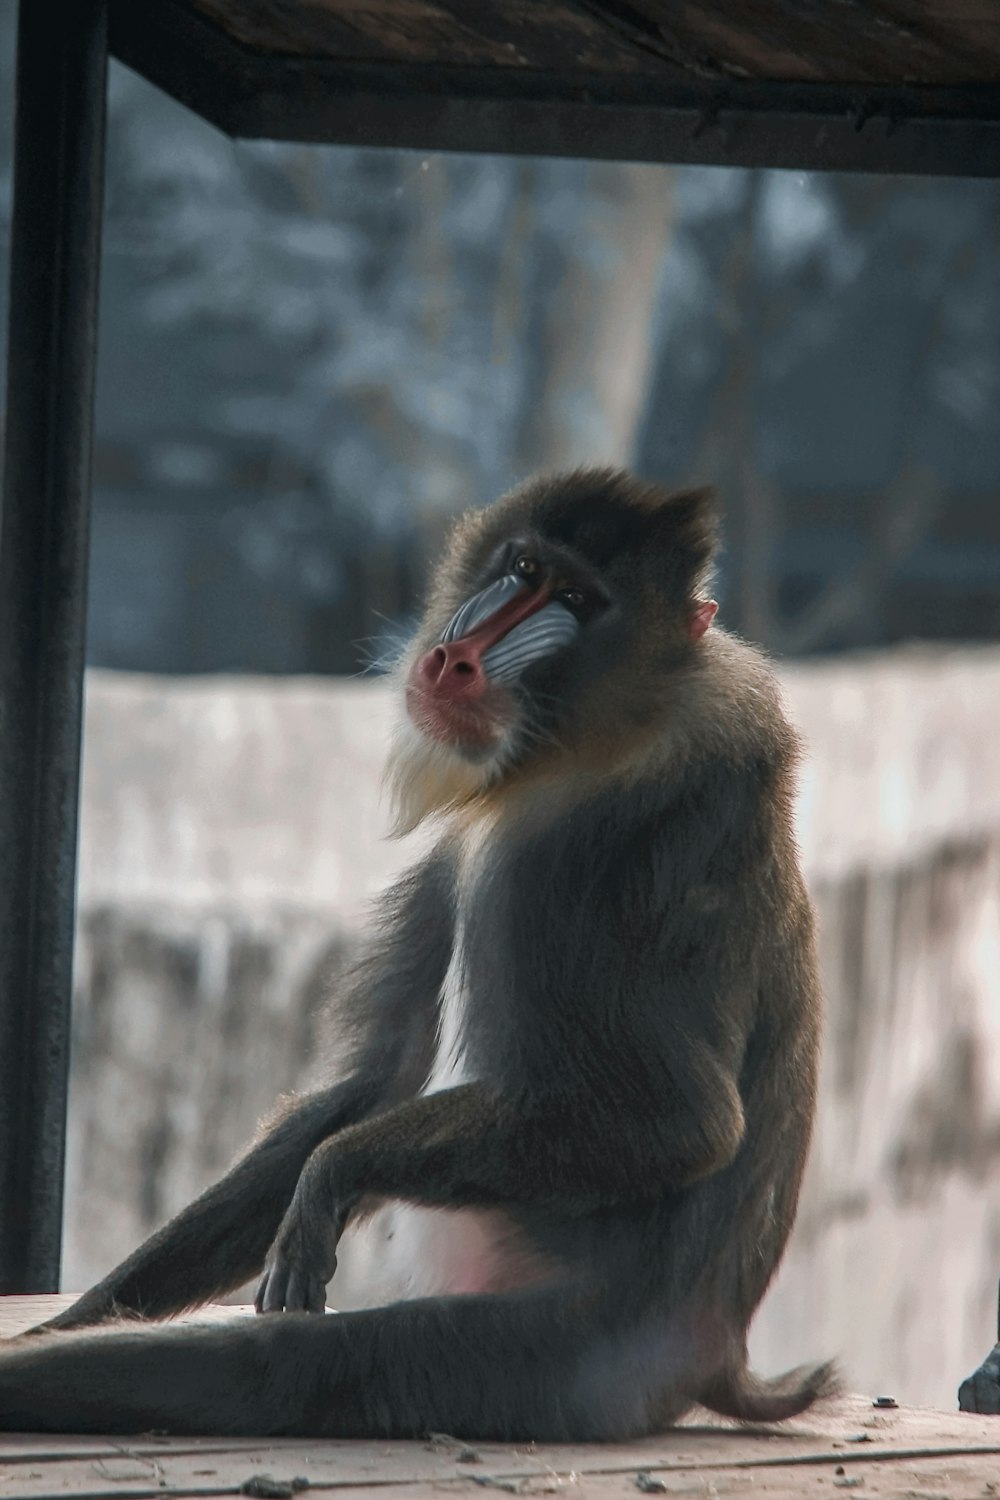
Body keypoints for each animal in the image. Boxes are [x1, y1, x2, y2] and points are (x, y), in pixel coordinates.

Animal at [0, 468, 833, 1440]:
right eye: (525, 569)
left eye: (579, 603)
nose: (457, 658)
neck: (607, 723)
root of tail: (709, 1354)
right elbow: (380, 1076)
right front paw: (80, 1309)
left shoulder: (596, 858)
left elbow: (681, 1123)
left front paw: (330, 1180)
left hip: (533, 1357)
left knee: (284, 1368)